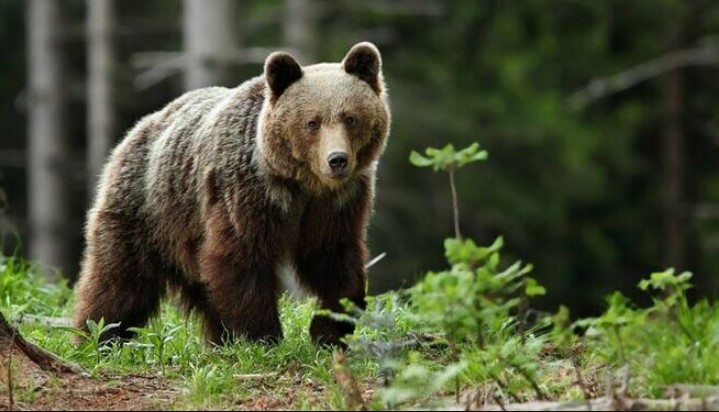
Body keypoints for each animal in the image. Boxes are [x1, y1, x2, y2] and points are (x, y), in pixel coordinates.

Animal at [70, 41, 390, 346]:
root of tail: (139, 128)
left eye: (350, 118)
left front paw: (329, 330)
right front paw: (263, 336)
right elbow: (241, 257)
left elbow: (336, 261)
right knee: (119, 280)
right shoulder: (247, 191)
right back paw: (97, 337)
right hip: (147, 208)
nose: (337, 159)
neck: (301, 184)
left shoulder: (338, 203)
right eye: (312, 121)